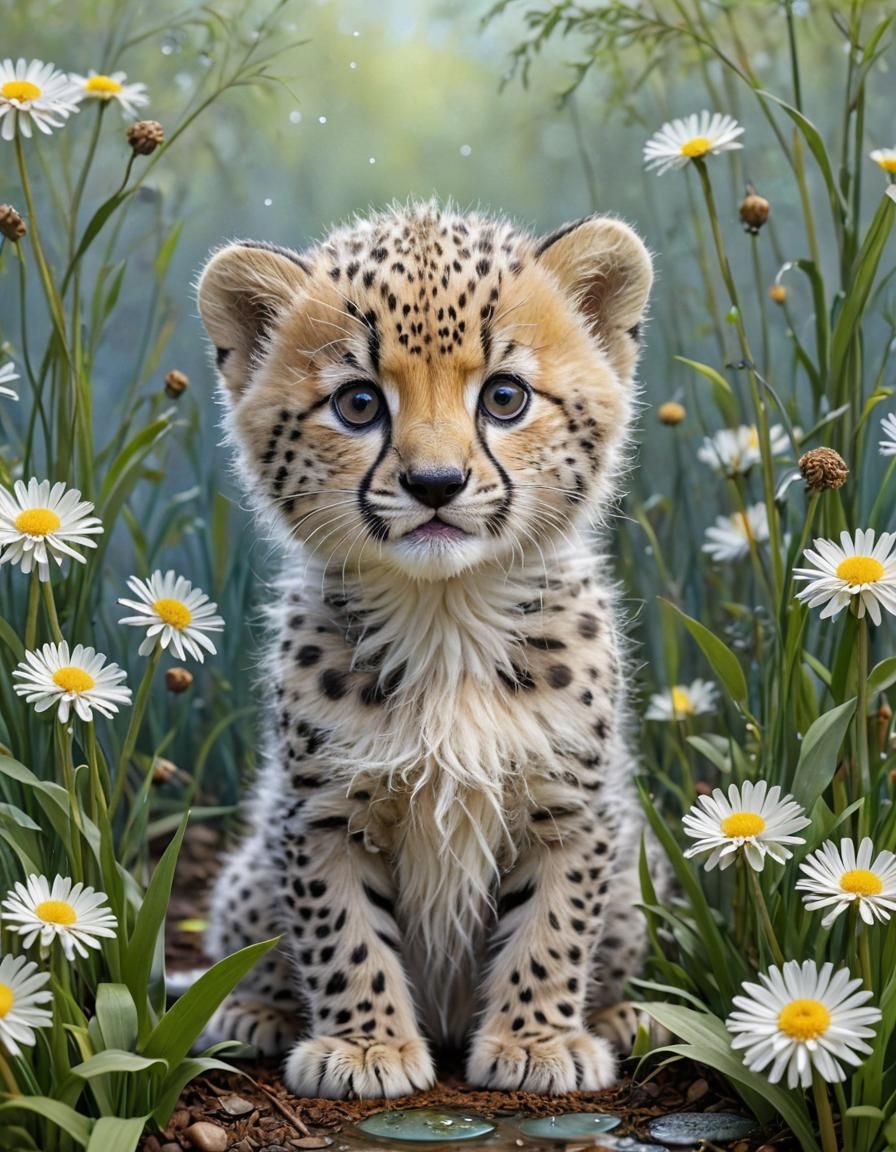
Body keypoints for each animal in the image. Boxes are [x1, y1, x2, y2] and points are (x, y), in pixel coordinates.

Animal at [195, 200, 654, 1100]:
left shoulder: (571, 809)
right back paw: (250, 1013)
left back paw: (624, 1016)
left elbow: (553, 929)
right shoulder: (321, 812)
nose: (435, 484)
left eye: (505, 398)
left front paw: (537, 1041)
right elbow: (341, 936)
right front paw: (365, 1046)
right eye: (359, 404)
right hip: (249, 871)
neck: (448, 621)